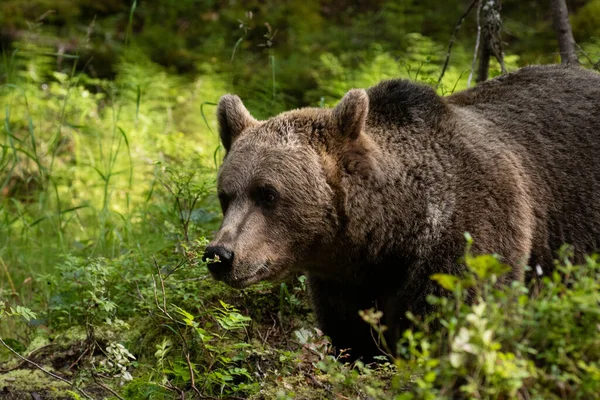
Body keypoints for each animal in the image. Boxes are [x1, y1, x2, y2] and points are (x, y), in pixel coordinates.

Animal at [203, 65, 600, 360]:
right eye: (226, 194)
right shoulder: (346, 281)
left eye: (268, 193)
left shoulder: (470, 233)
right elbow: (353, 337)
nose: (220, 254)